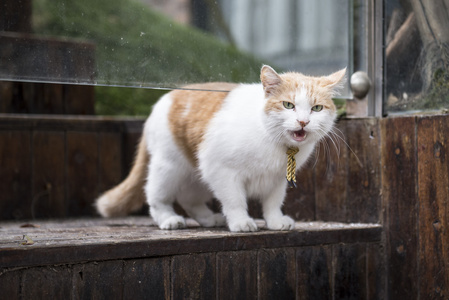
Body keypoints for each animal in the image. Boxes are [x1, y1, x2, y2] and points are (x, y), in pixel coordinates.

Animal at [95, 65, 346, 233]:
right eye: (288, 105)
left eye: (316, 108)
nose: (303, 122)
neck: (272, 140)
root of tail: (167, 96)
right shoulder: (221, 169)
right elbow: (235, 200)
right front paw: (241, 222)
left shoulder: (276, 179)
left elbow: (273, 202)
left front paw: (275, 221)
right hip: (169, 167)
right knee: (156, 195)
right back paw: (169, 219)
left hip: (196, 175)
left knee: (189, 198)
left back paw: (208, 218)